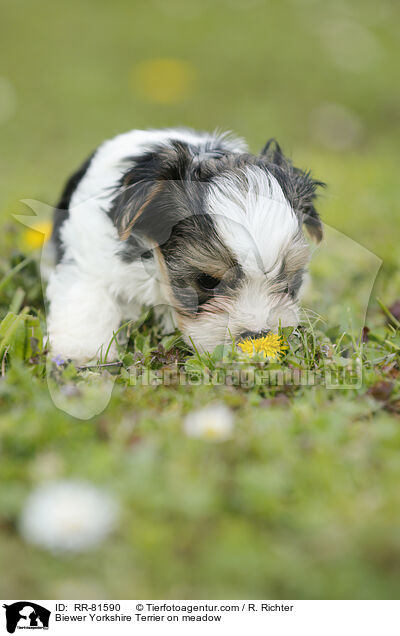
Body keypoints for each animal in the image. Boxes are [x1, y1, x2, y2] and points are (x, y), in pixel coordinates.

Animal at [47, 128, 324, 362]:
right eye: (207, 281)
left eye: (289, 280)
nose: (256, 337)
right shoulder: (90, 254)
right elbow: (88, 295)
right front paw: (82, 350)